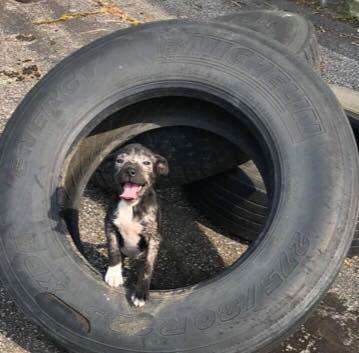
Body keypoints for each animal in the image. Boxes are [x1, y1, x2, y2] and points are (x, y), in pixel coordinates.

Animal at [105, 142, 169, 306]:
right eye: (119, 161)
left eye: (146, 163)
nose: (130, 170)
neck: (131, 204)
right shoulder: (110, 226)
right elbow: (113, 250)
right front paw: (114, 273)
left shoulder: (154, 238)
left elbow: (147, 266)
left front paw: (141, 293)